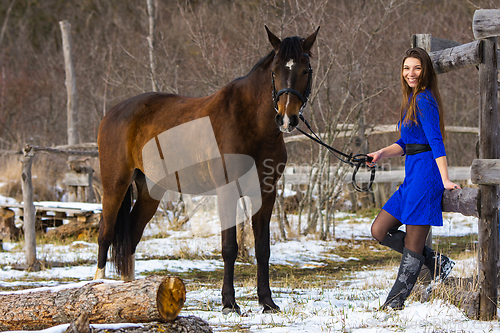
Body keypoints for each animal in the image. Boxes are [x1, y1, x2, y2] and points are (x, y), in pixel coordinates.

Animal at [94, 26, 320, 314]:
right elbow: (229, 247)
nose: (286, 118)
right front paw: (229, 303)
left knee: (131, 236)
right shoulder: (227, 192)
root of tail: (113, 113)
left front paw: (267, 302)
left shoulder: (266, 193)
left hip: (149, 191)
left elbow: (262, 248)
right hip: (116, 184)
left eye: (306, 69)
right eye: (276, 69)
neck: (248, 123)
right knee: (106, 233)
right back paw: (97, 288)